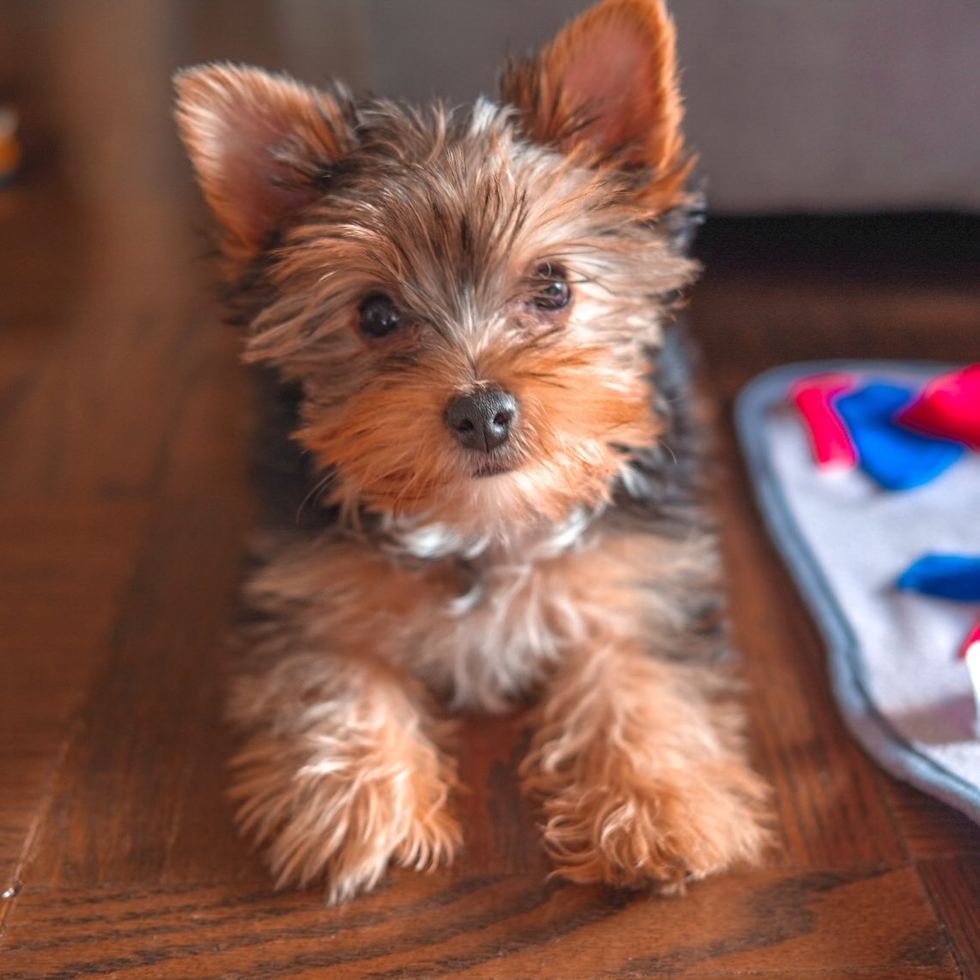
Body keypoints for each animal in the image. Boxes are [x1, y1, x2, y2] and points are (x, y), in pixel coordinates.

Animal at [178, 0, 772, 904]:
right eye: (376, 315)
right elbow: (332, 670)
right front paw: (354, 801)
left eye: (554, 287)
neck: (482, 523)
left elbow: (640, 671)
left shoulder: (641, 573)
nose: (482, 411)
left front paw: (656, 805)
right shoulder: (307, 580)